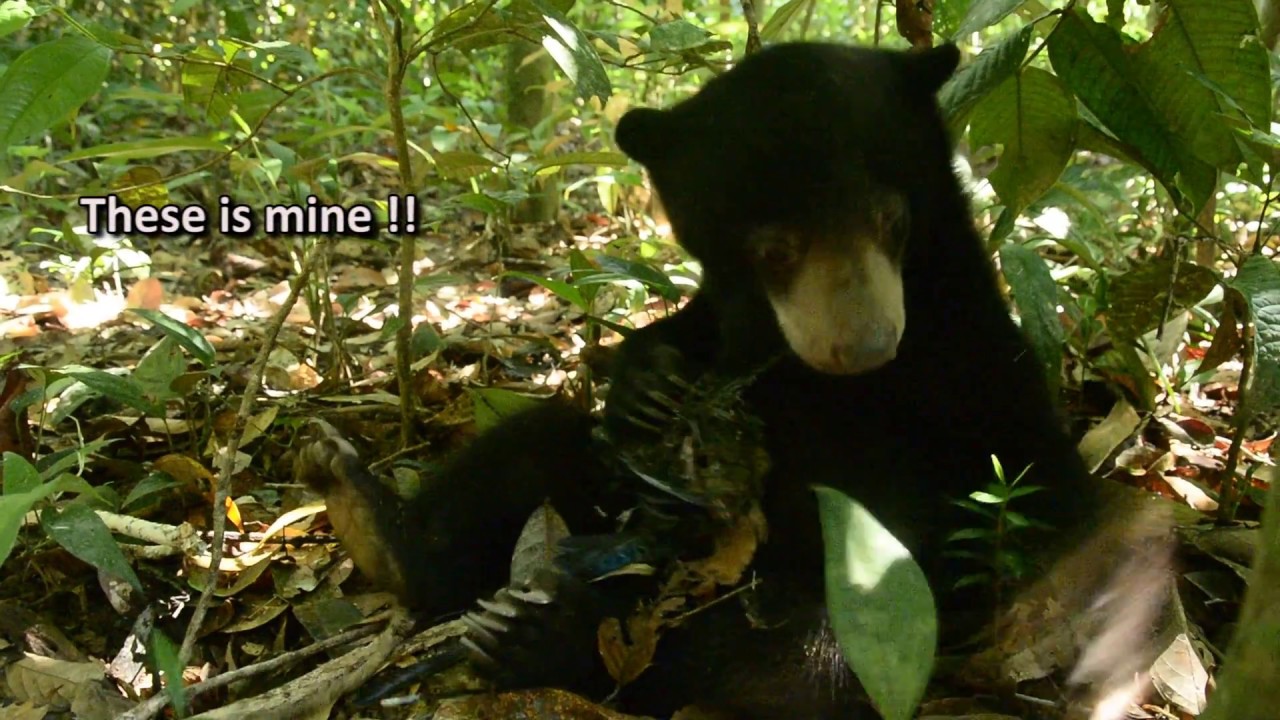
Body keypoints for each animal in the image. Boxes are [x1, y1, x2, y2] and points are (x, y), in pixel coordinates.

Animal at [297, 42, 1109, 720]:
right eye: (774, 249)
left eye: (891, 218)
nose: (864, 346)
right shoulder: (730, 316)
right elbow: (676, 344)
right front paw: (647, 382)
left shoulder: (969, 348)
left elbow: (1035, 486)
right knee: (537, 443)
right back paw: (375, 524)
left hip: (866, 606)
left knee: (801, 662)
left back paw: (553, 638)